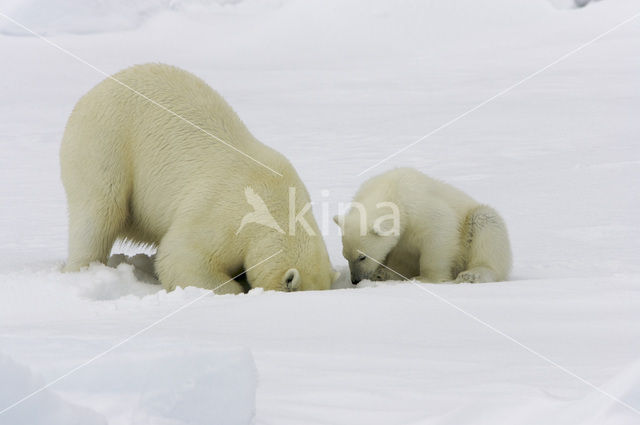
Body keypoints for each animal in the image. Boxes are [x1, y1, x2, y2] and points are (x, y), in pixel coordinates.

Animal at [62, 63, 338, 294]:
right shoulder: (222, 214)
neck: (277, 203)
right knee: (99, 212)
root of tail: (89, 94)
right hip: (106, 144)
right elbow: (182, 256)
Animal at [336, 167, 510, 284]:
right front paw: (384, 274)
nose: (355, 280)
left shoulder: (420, 208)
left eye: (362, 257)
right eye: (345, 256)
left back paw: (471, 275)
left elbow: (440, 232)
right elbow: (400, 257)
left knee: (485, 223)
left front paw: (425, 278)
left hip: (475, 222)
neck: (391, 189)